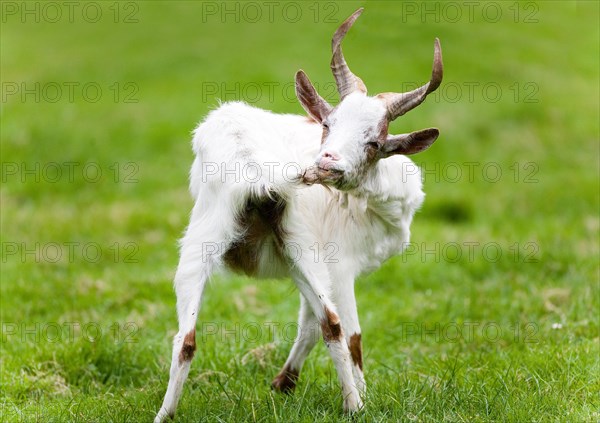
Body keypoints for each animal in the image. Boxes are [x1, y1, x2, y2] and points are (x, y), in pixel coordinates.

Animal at [157, 8, 442, 422]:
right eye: (328, 124)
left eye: (374, 142)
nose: (326, 164)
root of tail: (252, 163)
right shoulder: (341, 267)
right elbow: (344, 332)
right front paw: (359, 392)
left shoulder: (311, 267)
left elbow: (310, 323)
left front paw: (283, 384)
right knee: (341, 328)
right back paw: (355, 404)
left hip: (236, 243)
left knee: (188, 338)